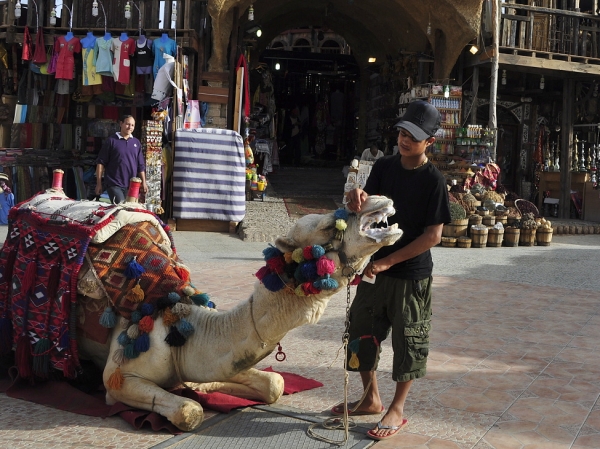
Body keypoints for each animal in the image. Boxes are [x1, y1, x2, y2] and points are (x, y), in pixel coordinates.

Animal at [1, 189, 404, 430]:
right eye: (327, 226)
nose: (379, 200)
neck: (182, 327)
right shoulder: (118, 377)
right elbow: (189, 410)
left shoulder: (199, 360)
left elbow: (272, 384)